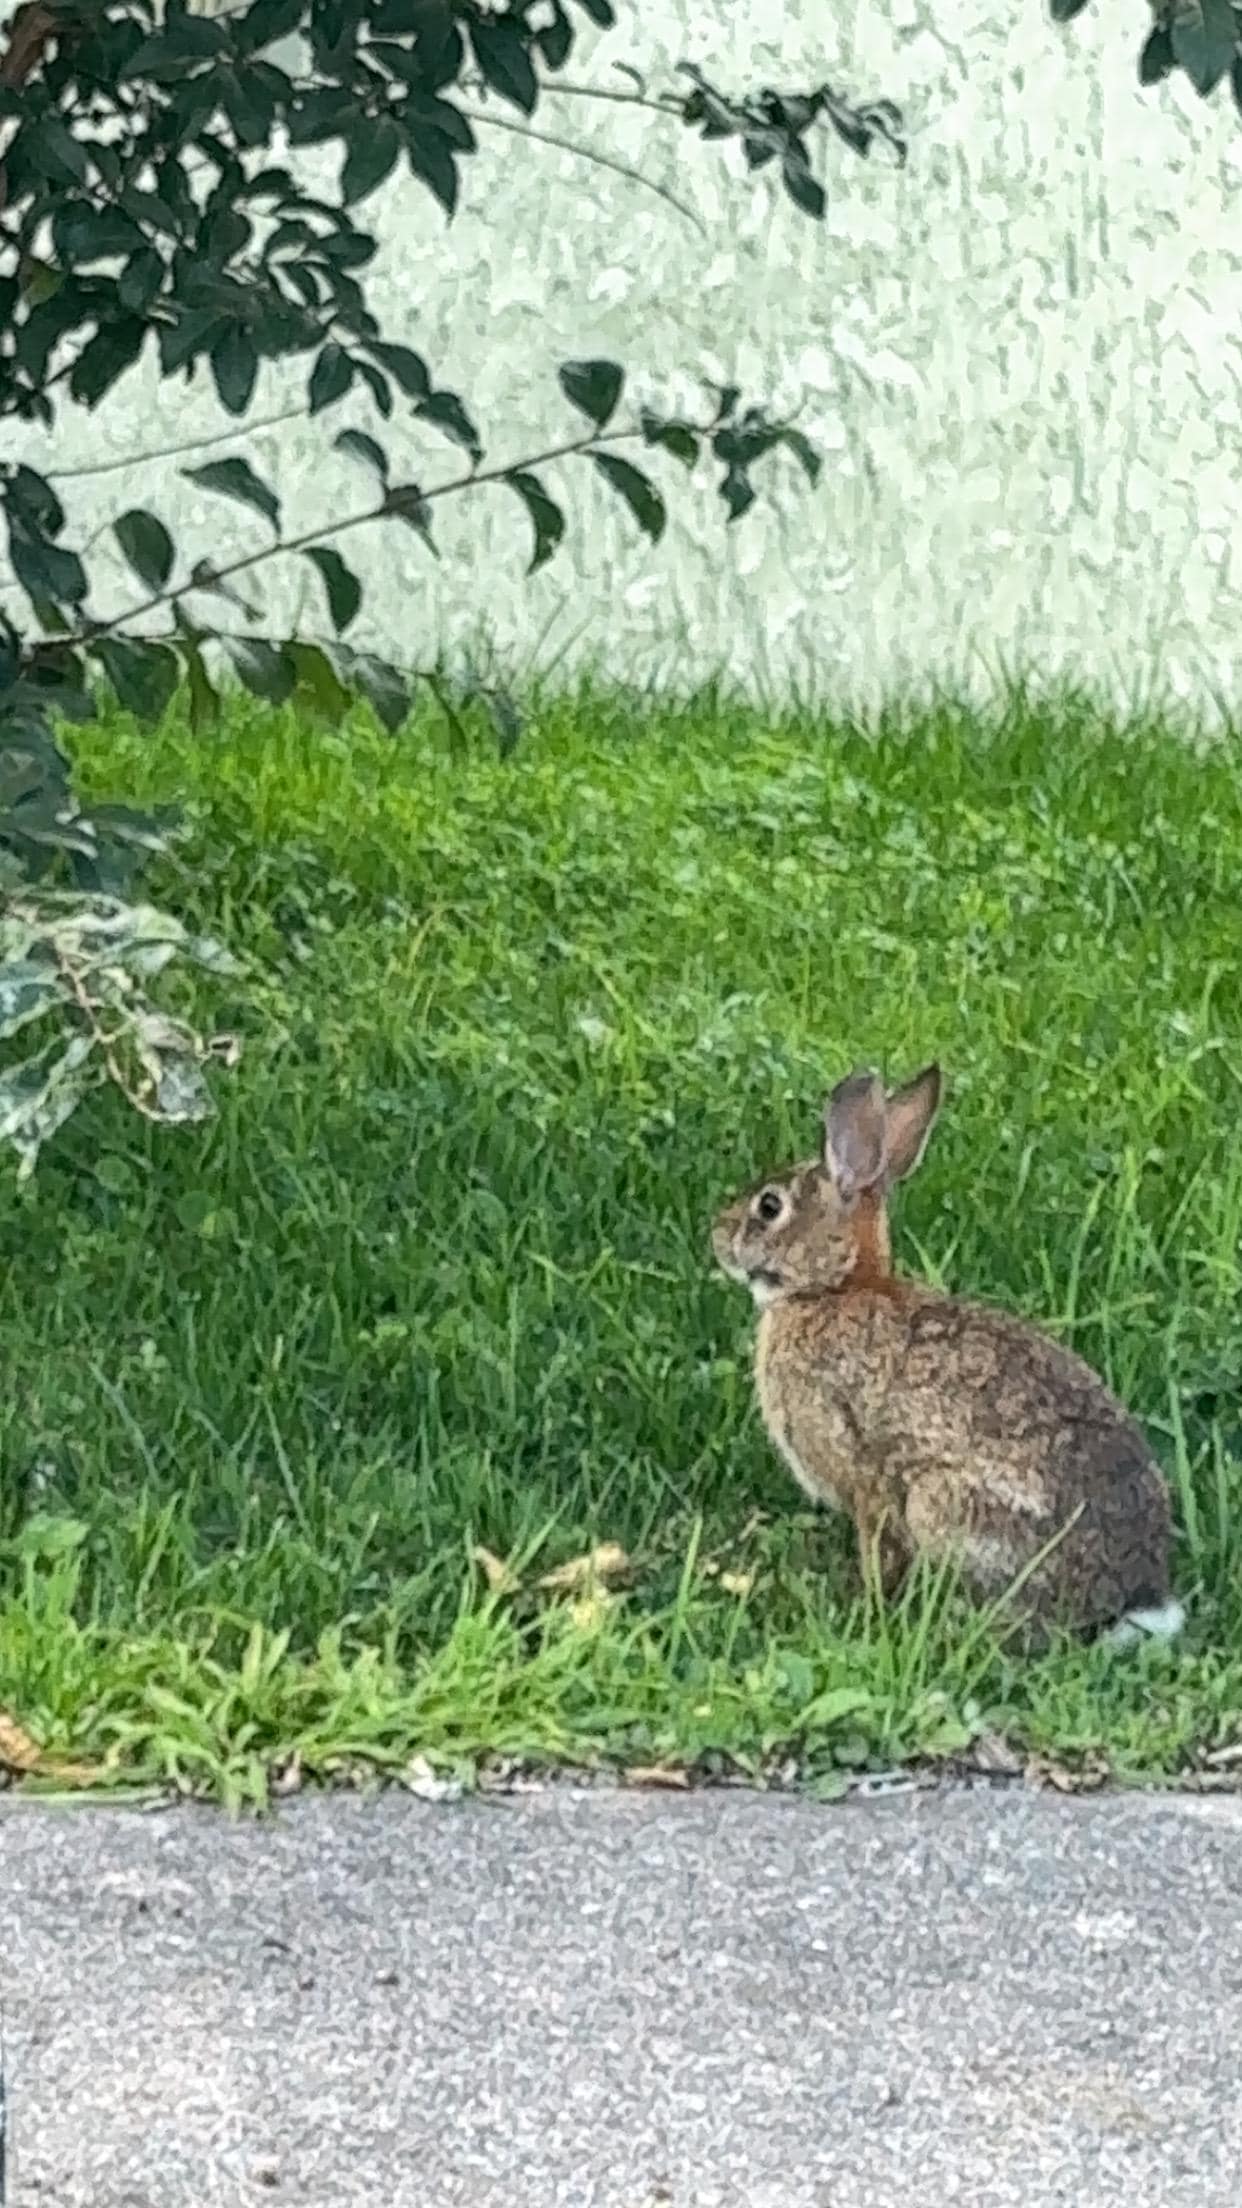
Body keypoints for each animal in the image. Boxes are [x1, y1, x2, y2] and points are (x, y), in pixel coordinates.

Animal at [711, 1063, 1184, 1650]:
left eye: (770, 1206)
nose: (718, 1237)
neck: (833, 1288)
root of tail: (1127, 1604)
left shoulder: (862, 1470)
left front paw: (867, 1606)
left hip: (944, 1505)